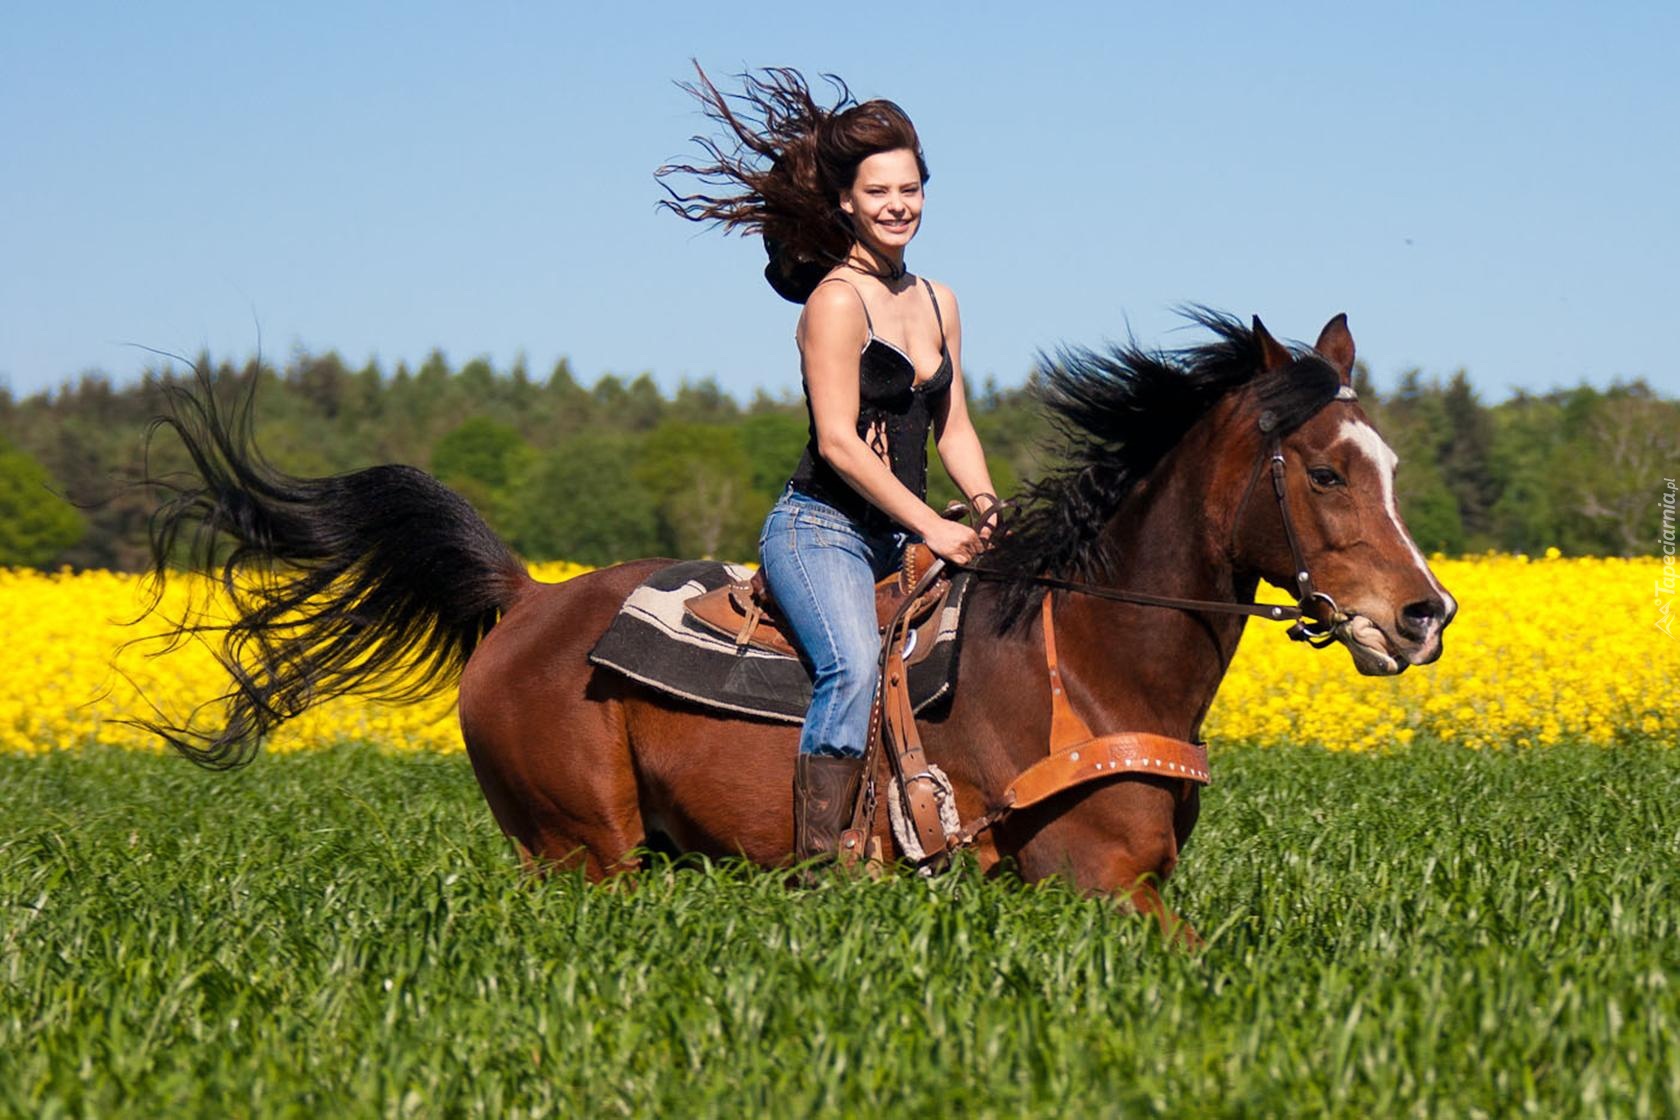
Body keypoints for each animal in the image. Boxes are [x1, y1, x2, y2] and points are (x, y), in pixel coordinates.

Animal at [141, 310, 1458, 940]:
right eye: (1326, 470)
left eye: (1391, 463)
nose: (1424, 614)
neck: (1087, 655)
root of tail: (525, 598)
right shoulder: (1092, 886)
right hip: (583, 854)